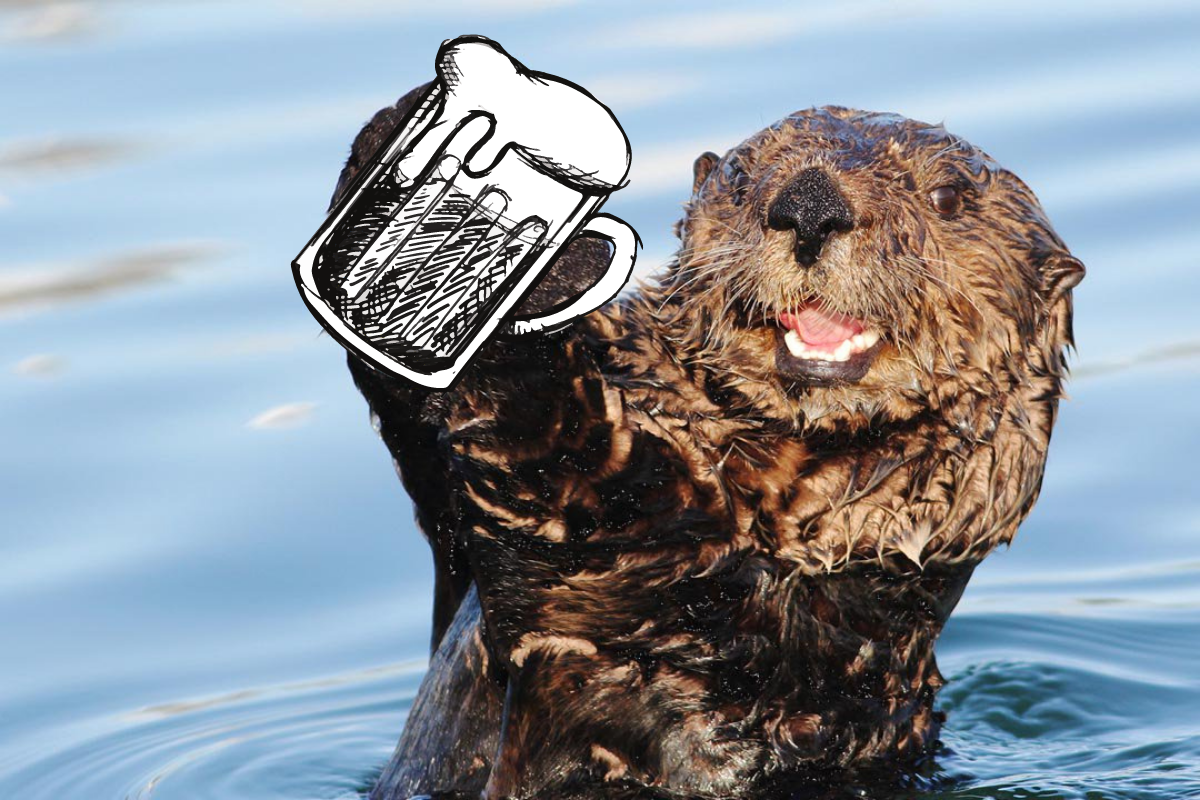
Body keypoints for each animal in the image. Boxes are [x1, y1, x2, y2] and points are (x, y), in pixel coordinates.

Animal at [333, 86, 1084, 800]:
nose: (809, 206)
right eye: (744, 177)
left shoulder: (688, 610)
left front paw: (554, 260)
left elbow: (567, 468)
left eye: (947, 197)